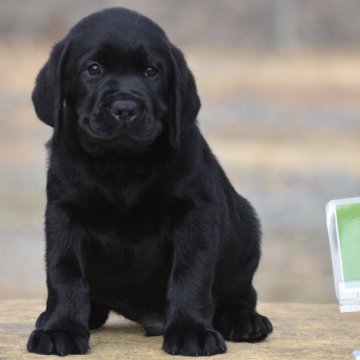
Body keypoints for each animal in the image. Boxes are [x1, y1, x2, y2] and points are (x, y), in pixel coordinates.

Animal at [26, 8, 272, 358]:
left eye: (151, 71)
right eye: (93, 69)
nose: (125, 108)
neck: (121, 164)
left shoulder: (195, 214)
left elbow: (190, 274)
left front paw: (191, 330)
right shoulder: (64, 213)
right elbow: (64, 272)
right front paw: (61, 326)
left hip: (246, 233)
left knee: (239, 295)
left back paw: (244, 320)